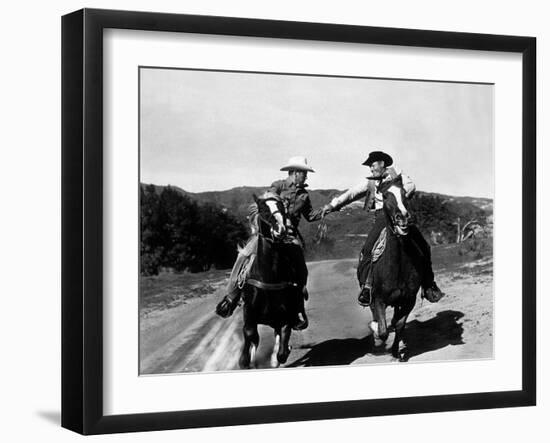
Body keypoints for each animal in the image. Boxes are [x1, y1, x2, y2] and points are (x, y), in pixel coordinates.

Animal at [240, 196, 304, 370]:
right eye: (264, 210)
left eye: (282, 208)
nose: (281, 229)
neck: (268, 277)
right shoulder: (249, 312)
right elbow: (250, 333)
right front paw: (245, 361)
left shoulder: (287, 315)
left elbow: (282, 343)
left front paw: (280, 355)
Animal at [368, 177, 424, 360]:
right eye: (385, 196)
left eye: (404, 193)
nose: (403, 217)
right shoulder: (378, 299)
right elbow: (383, 330)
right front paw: (377, 333)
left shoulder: (409, 299)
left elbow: (399, 324)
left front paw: (395, 351)